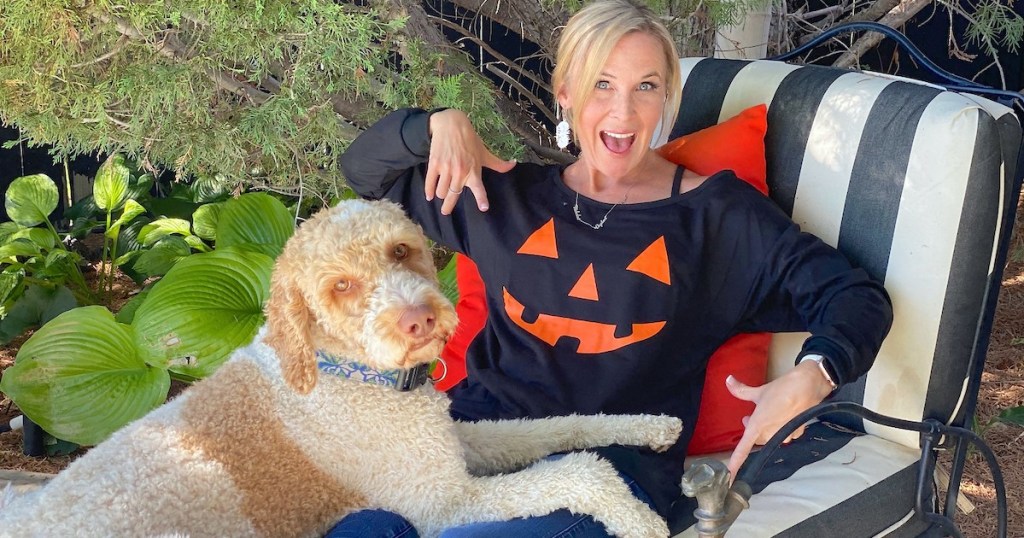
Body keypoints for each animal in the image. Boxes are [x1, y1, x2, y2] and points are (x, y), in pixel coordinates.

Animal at [0, 197, 679, 536]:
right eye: (341, 287)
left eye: (401, 250)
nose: (418, 321)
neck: (347, 374)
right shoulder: (444, 503)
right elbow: (579, 472)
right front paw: (638, 518)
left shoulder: (450, 444)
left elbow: (560, 427)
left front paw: (649, 427)